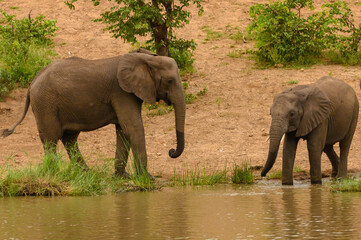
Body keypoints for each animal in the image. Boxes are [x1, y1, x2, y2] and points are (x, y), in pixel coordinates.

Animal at [0, 49, 186, 178]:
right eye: (170, 81)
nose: (171, 151)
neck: (146, 58)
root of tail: (32, 83)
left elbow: (123, 130)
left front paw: (123, 177)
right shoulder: (121, 92)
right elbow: (133, 128)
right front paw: (147, 178)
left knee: (69, 139)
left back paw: (86, 173)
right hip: (45, 104)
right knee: (51, 139)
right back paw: (54, 173)